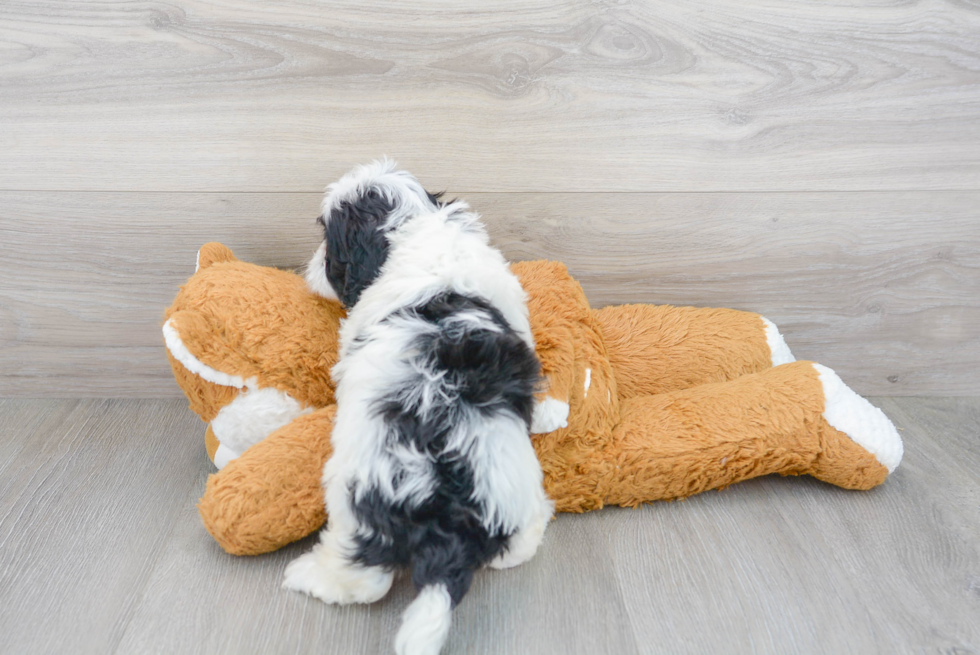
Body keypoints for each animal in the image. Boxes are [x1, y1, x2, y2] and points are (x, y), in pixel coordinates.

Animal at [284, 160, 560, 655]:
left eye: (328, 242)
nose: (312, 265)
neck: (416, 225)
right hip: (515, 492)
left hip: (356, 493)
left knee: (366, 576)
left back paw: (310, 575)